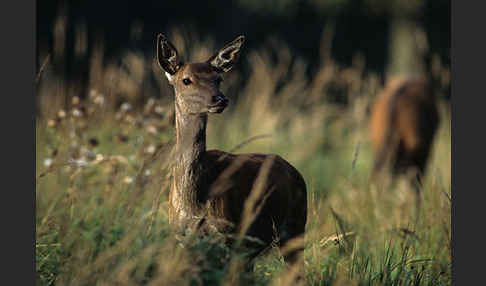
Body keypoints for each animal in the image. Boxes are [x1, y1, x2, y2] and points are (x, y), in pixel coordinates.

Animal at [156, 34, 308, 270]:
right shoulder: (182, 237)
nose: (220, 99)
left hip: (294, 228)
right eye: (186, 80)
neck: (196, 202)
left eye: (218, 79)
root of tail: (297, 173)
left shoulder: (229, 237)